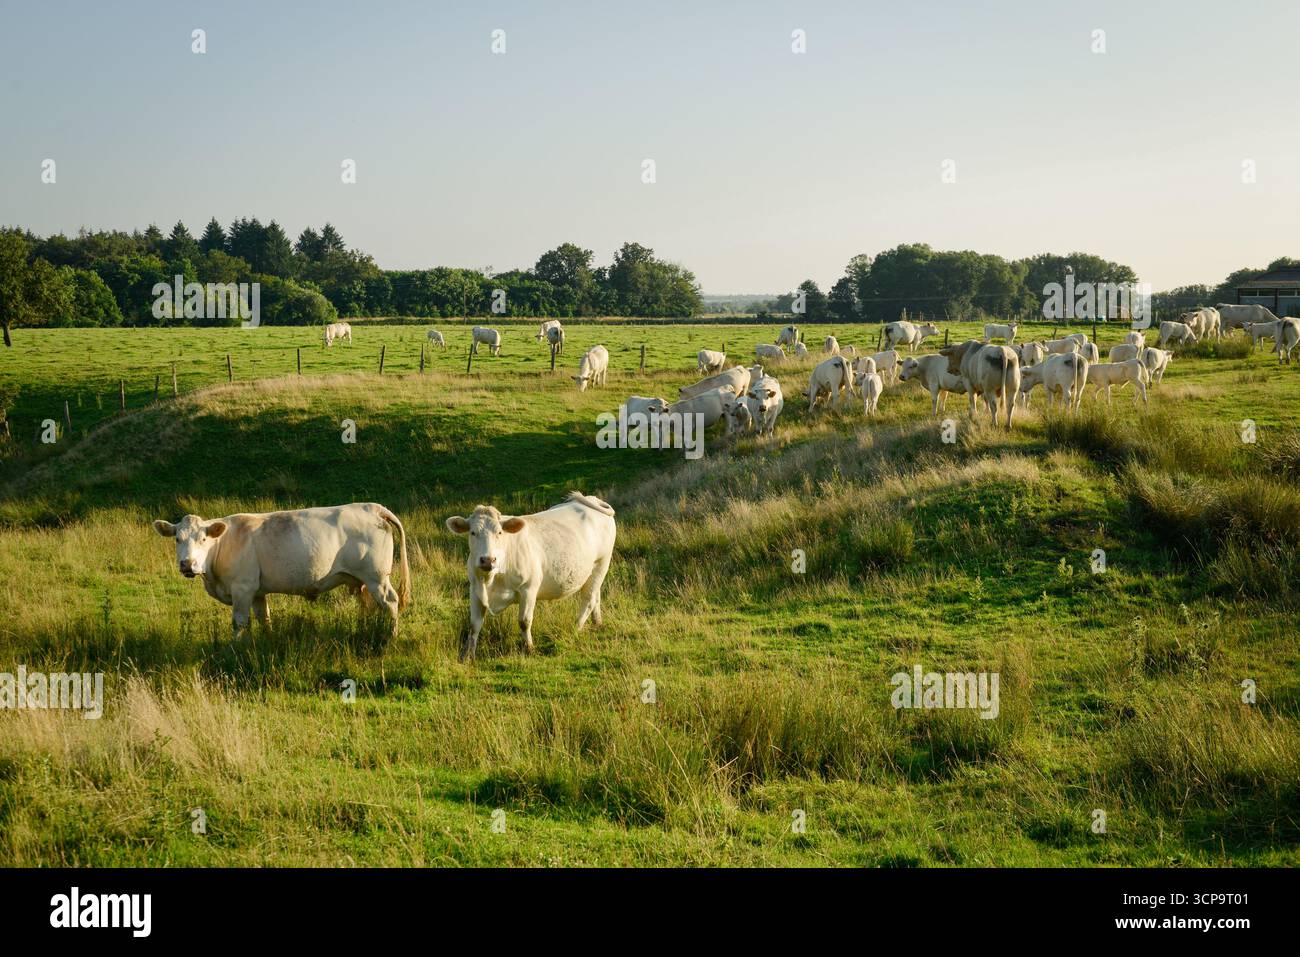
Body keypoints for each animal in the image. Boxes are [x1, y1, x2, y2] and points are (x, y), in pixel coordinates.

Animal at [153, 503, 410, 639]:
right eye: (177, 539)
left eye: (204, 539)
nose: (187, 564)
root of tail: (372, 508)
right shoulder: (257, 592)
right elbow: (264, 617)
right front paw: (267, 640)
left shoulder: (242, 589)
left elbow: (239, 622)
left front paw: (235, 648)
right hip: (362, 581)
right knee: (370, 606)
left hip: (377, 577)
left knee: (391, 602)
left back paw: (391, 635)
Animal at [444, 492, 615, 662]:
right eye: (473, 532)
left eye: (499, 532)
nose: (487, 560)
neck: (492, 580)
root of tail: (593, 499)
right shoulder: (475, 589)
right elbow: (474, 625)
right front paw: (468, 656)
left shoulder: (529, 588)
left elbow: (524, 621)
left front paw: (529, 649)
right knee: (596, 596)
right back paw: (597, 623)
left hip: (602, 563)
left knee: (589, 599)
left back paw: (575, 629)